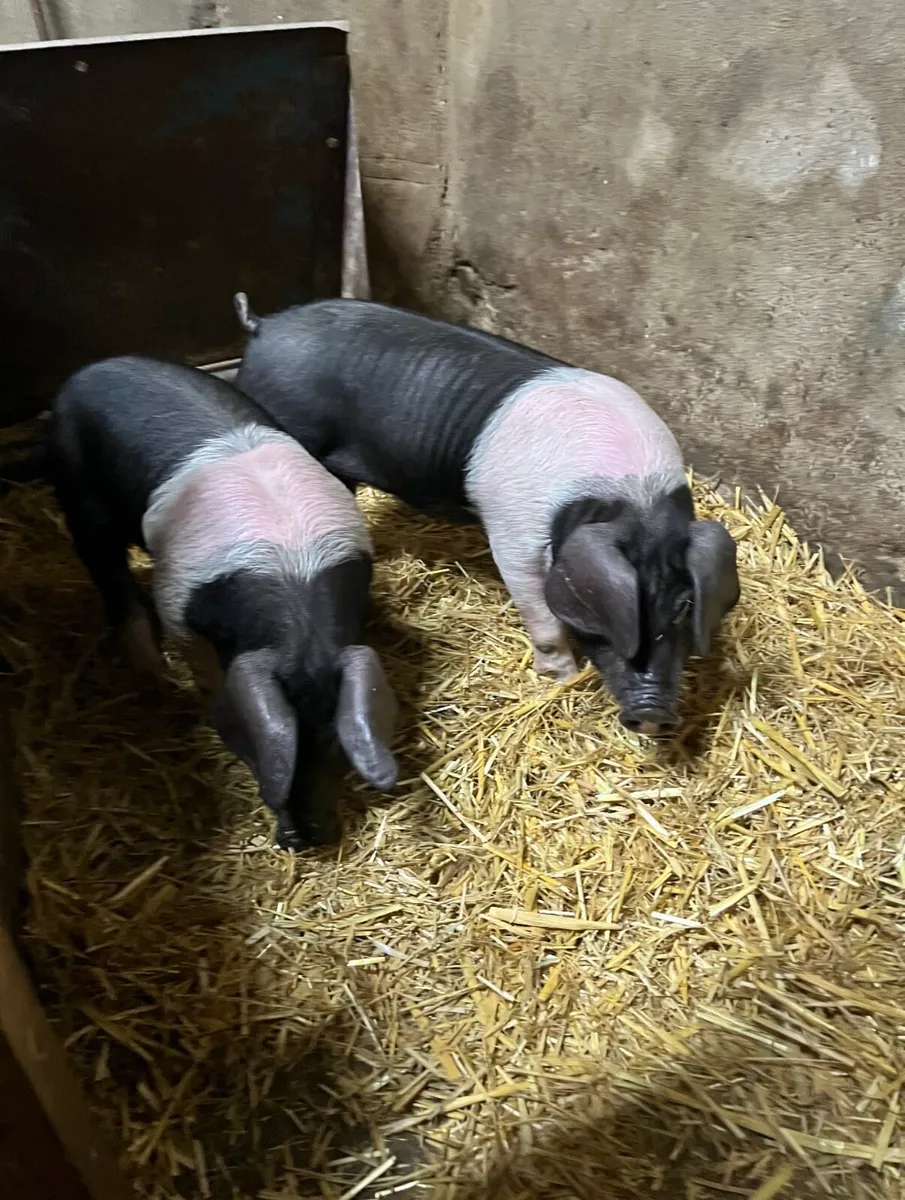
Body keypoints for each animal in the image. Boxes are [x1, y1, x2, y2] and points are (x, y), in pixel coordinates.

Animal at [48, 355, 398, 847]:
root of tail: (91, 368)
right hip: (77, 488)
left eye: (334, 743)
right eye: (264, 749)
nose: (304, 837)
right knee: (107, 569)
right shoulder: (177, 600)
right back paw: (151, 672)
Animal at [233, 295, 740, 737]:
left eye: (684, 607)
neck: (633, 497)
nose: (654, 714)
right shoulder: (513, 533)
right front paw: (560, 678)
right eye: (611, 615)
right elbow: (541, 615)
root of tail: (265, 325)